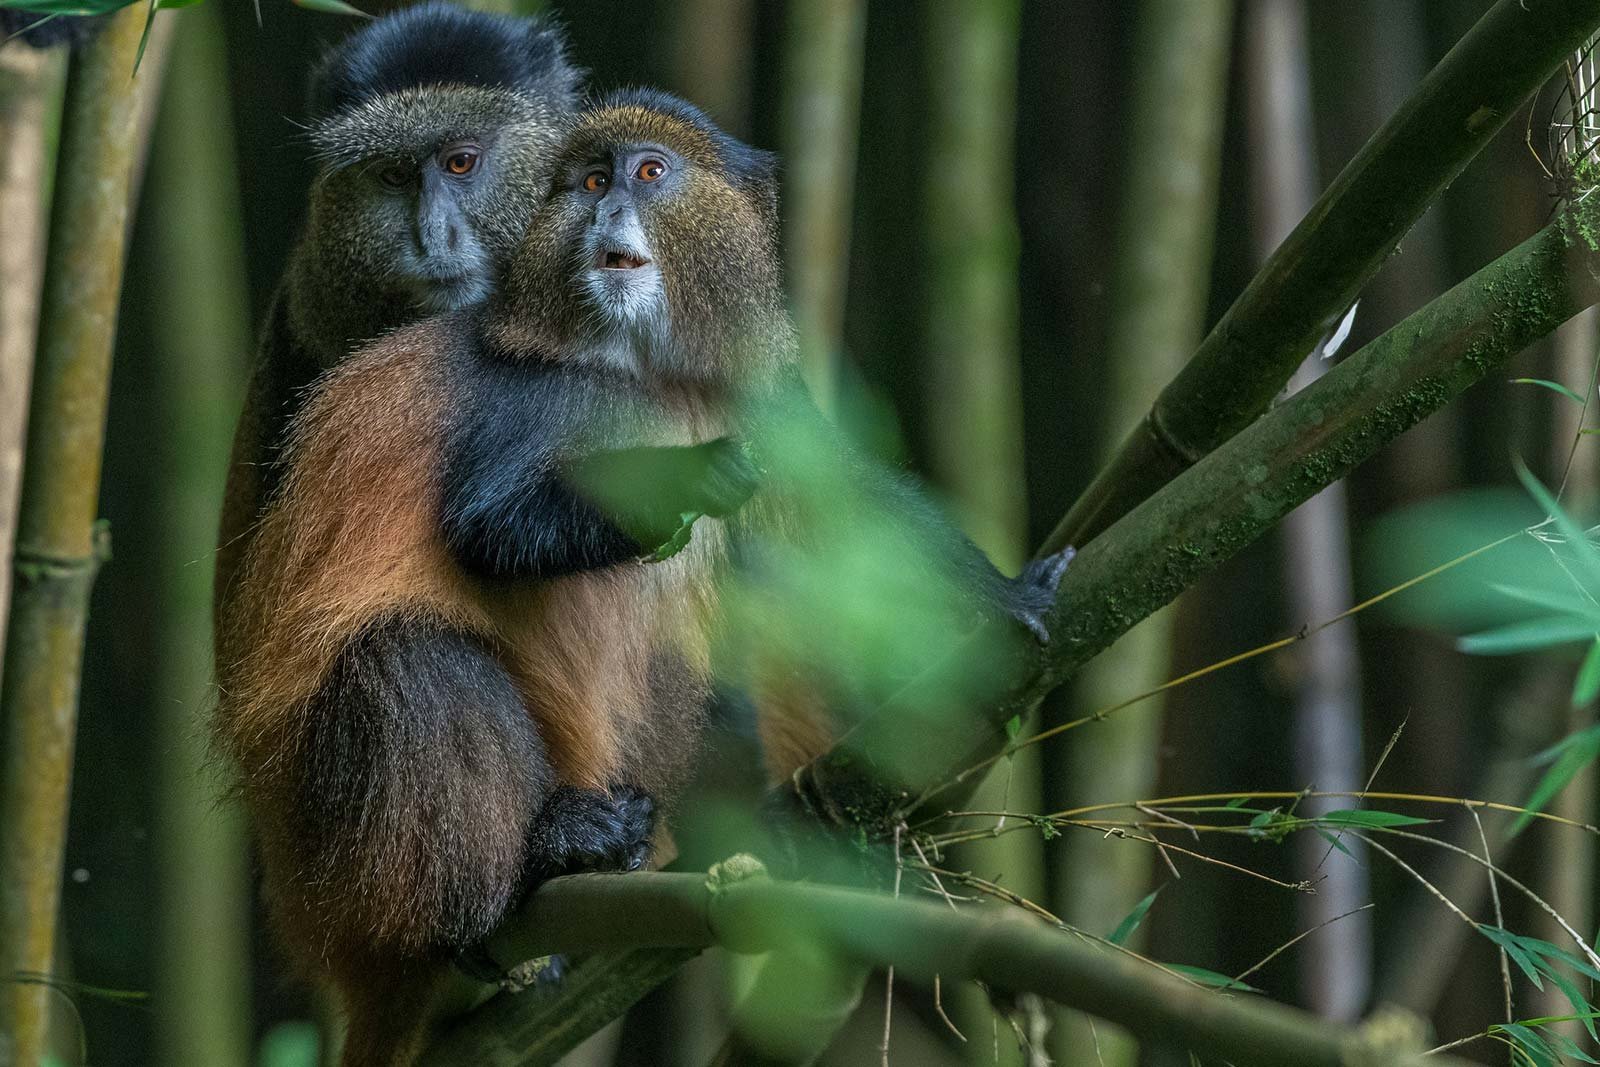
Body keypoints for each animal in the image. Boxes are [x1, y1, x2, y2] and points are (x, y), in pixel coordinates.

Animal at [213, 87, 1068, 1066]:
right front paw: (689, 479)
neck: (645, 375)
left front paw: (1007, 596)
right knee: (408, 656)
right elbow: (490, 530)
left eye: (649, 172)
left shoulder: (757, 397)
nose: (607, 208)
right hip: (340, 866)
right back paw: (512, 889)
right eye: (590, 181)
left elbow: (840, 504)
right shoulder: (532, 399)